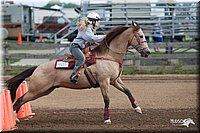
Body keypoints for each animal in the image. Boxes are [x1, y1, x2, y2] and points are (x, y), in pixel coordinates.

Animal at [5, 21, 150, 124]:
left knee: (22, 100)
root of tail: (37, 67)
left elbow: (128, 91)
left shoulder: (115, 80)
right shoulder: (104, 82)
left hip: (44, 90)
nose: (147, 52)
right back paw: (15, 119)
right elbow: (107, 99)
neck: (108, 56)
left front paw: (137, 108)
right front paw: (107, 119)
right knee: (20, 99)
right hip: (37, 90)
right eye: (141, 36)